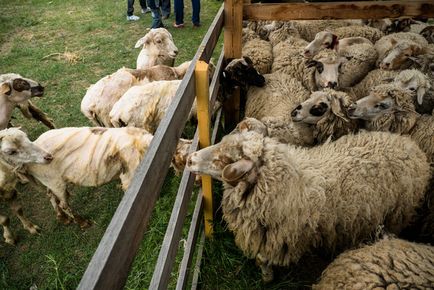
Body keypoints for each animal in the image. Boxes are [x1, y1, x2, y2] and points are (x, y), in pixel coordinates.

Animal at [22, 127, 192, 227]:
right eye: (186, 160)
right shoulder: (130, 176)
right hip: (55, 181)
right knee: (64, 204)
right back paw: (82, 222)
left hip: (49, 181)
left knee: (50, 195)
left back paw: (62, 218)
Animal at [186, 127, 430, 280]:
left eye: (223, 160)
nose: (190, 159)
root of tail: (412, 147)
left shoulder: (279, 237)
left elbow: (264, 259)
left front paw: (267, 277)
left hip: (397, 214)